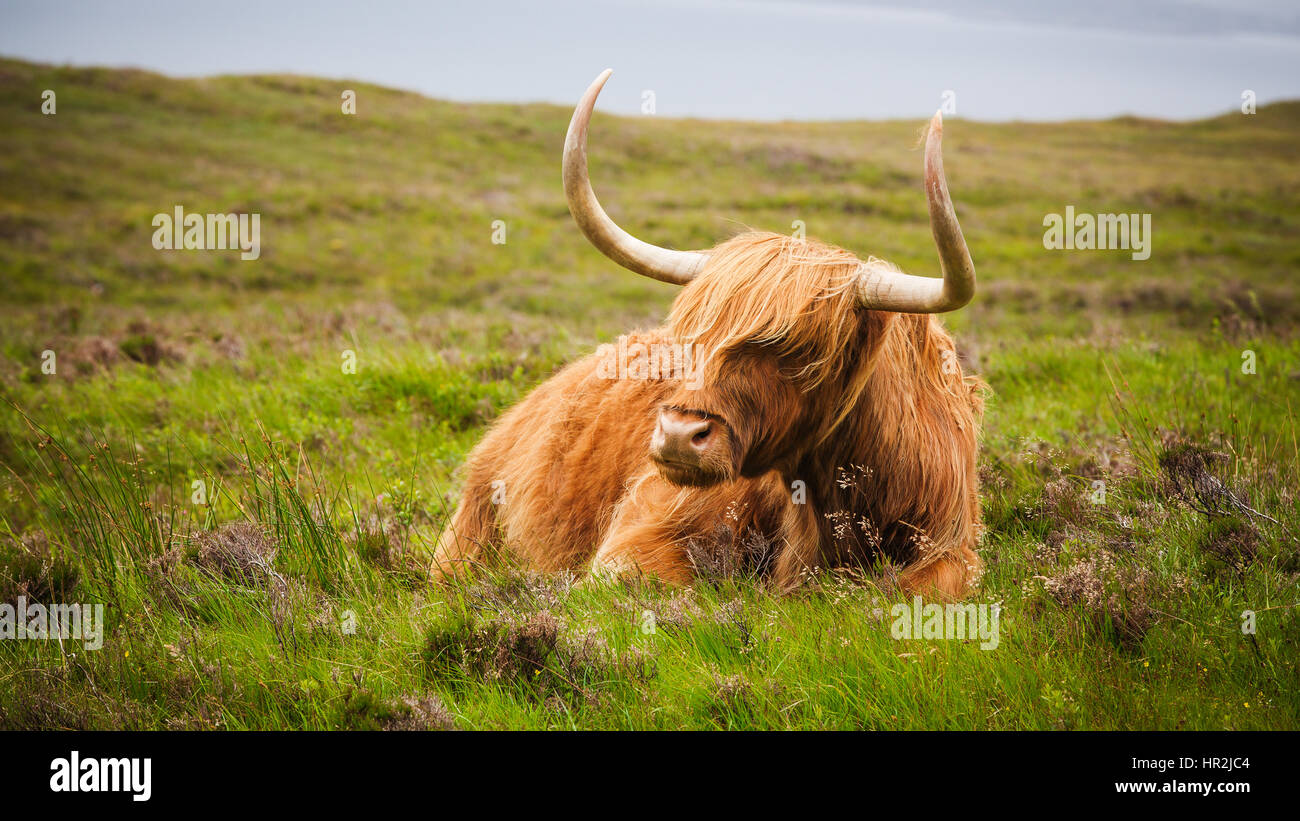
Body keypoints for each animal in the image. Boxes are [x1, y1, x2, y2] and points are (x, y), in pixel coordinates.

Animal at [431, 68, 977, 597]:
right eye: (693, 339)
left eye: (799, 349)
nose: (677, 435)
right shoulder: (639, 535)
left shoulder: (955, 547)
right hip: (466, 541)